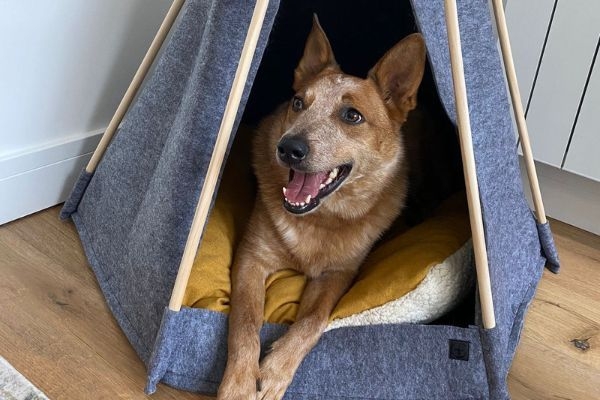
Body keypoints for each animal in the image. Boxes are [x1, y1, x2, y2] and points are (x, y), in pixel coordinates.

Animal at [216, 16, 426, 400]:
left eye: (352, 115)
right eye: (299, 103)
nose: (289, 148)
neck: (320, 220)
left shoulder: (338, 274)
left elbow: (314, 320)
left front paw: (275, 371)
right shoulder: (252, 258)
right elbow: (245, 320)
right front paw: (239, 383)